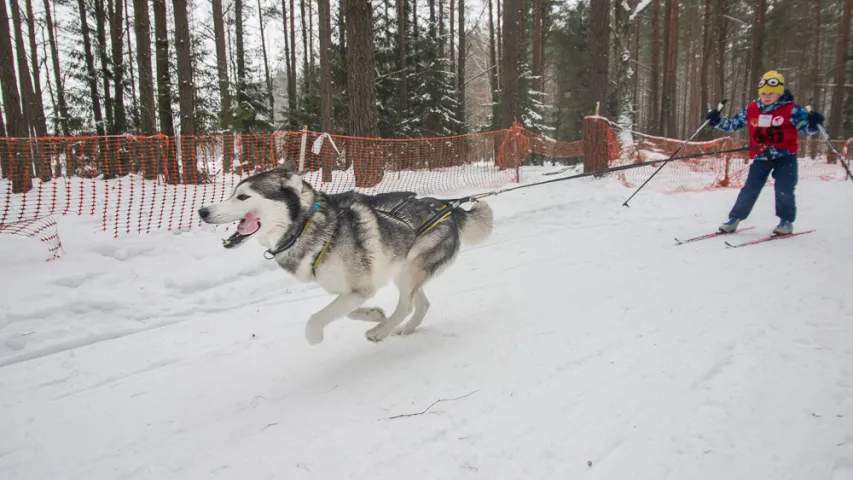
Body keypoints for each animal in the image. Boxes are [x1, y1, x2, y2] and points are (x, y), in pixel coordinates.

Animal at [197, 161, 492, 344]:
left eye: (243, 197)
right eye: (232, 194)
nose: (203, 211)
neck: (305, 225)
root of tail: (448, 208)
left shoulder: (360, 289)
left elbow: (316, 319)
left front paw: (315, 336)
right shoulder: (352, 291)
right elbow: (347, 311)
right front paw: (374, 313)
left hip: (410, 269)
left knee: (406, 305)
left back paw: (380, 332)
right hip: (404, 271)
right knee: (420, 304)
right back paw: (402, 328)